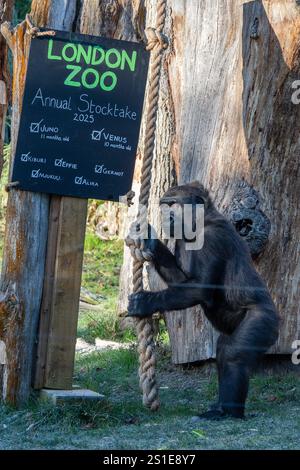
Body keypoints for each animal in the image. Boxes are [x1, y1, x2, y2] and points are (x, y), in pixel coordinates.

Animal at [126, 182, 278, 420]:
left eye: (172, 204)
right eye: (163, 205)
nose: (165, 216)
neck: (202, 220)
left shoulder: (213, 238)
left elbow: (199, 288)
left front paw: (145, 303)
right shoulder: (180, 240)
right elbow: (181, 282)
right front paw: (149, 240)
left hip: (266, 321)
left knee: (234, 356)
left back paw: (230, 412)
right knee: (224, 350)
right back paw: (222, 406)